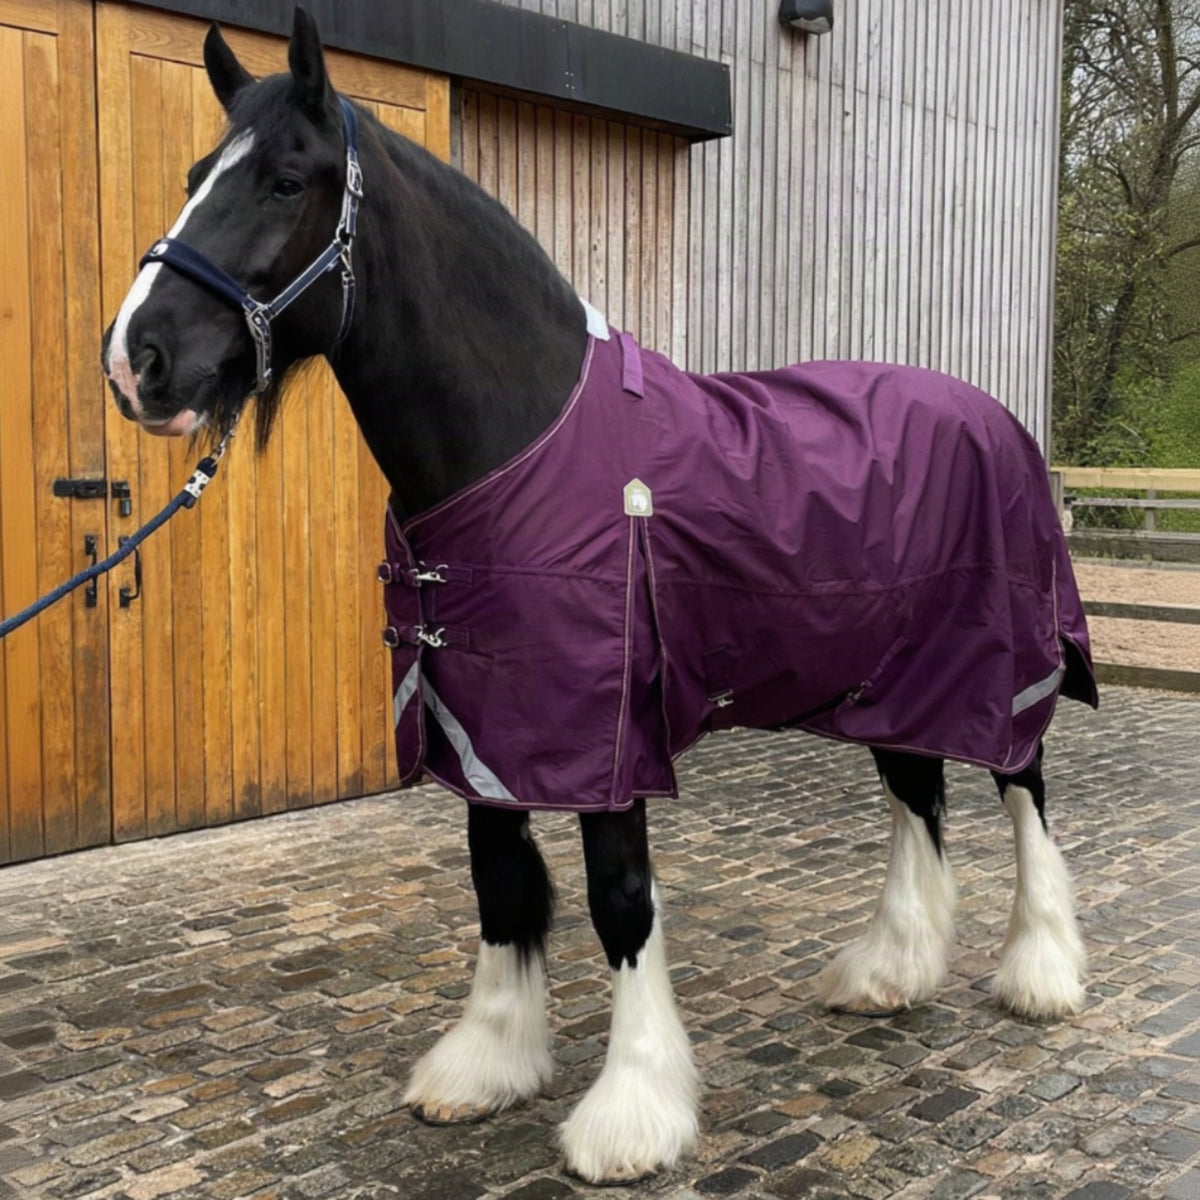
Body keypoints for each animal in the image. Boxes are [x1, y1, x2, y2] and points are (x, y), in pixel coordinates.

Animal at [101, 9, 1098, 1185]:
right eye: (195, 175)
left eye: (287, 180)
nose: (136, 361)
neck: (523, 442)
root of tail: (995, 417)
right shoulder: (485, 723)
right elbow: (500, 882)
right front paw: (485, 1067)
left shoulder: (605, 734)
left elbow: (620, 902)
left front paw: (632, 1115)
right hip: (885, 674)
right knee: (917, 796)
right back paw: (889, 970)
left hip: (996, 664)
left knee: (1021, 786)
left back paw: (1040, 974)